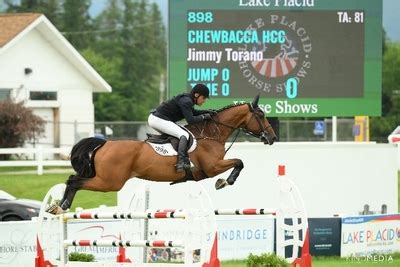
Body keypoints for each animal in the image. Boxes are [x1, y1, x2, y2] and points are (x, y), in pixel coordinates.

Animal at [47, 95, 276, 215]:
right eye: (261, 115)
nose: (272, 137)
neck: (212, 134)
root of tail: (104, 144)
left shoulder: (207, 169)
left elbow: (239, 161)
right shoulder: (212, 167)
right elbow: (239, 162)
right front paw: (225, 182)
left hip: (106, 179)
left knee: (73, 180)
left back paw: (58, 206)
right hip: (109, 182)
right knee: (74, 180)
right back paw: (62, 206)